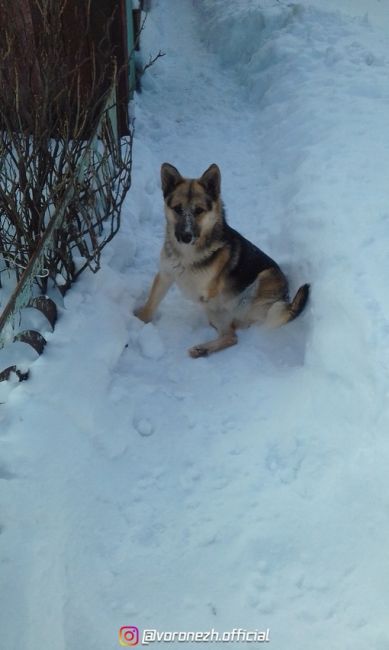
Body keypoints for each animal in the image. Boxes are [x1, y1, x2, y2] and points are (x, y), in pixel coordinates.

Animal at [134, 160, 310, 356]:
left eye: (199, 211)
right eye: (177, 209)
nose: (186, 236)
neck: (187, 253)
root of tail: (285, 299)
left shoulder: (206, 294)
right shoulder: (165, 275)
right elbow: (151, 303)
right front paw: (139, 320)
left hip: (258, 281)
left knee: (232, 335)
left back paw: (202, 348)